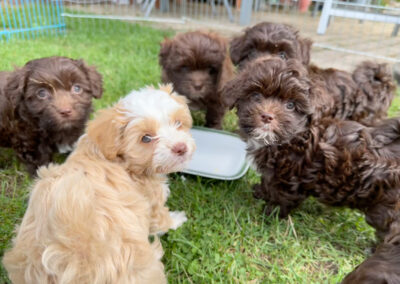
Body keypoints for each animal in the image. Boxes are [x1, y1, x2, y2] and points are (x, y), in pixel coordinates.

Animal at [1, 84, 195, 284]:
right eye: (146, 138)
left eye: (178, 123)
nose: (181, 147)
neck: (120, 160)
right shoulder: (151, 199)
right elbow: (161, 218)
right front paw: (177, 219)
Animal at [222, 56, 400, 242]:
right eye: (255, 95)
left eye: (290, 105)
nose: (267, 116)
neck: (294, 137)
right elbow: (267, 182)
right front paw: (261, 192)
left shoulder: (289, 179)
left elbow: (280, 198)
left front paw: (268, 216)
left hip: (387, 206)